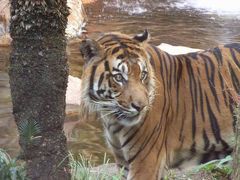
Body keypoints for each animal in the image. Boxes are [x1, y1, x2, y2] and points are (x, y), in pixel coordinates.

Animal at [79, 30, 240, 179]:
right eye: (118, 77)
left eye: (142, 75)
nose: (141, 107)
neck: (112, 119)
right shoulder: (123, 162)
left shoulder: (146, 162)